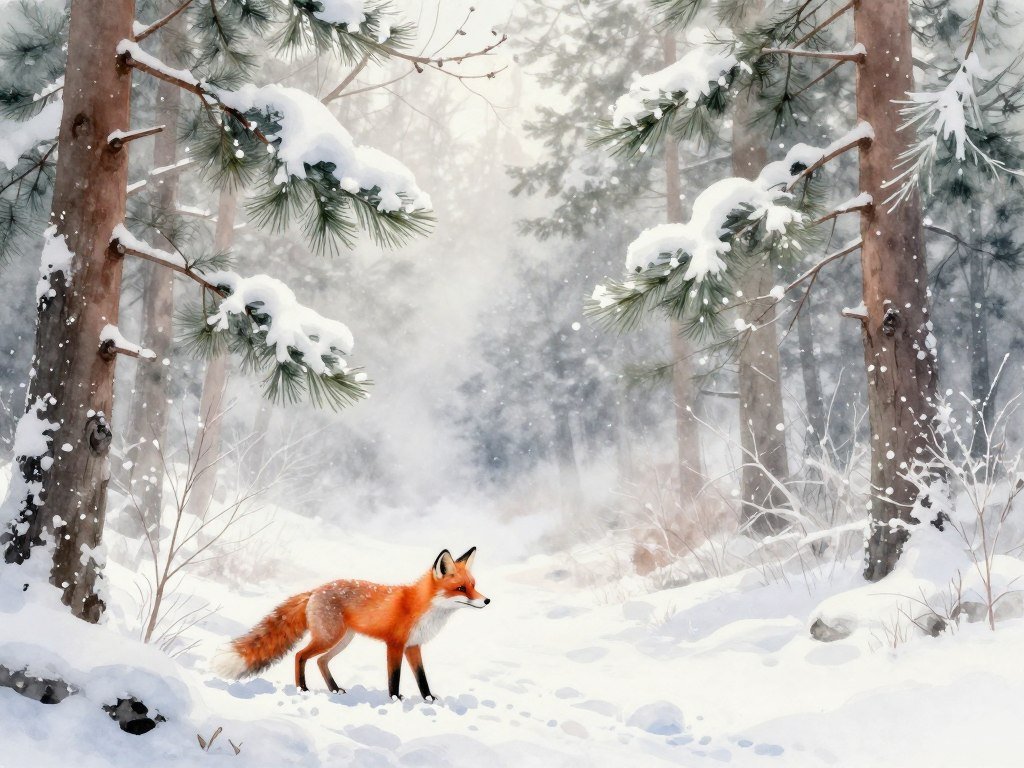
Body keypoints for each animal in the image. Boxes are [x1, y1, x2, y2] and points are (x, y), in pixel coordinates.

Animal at [213, 547, 489, 701]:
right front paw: (395, 699)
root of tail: (315, 590)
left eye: (473, 585)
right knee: (301, 656)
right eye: (461, 588)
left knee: (321, 661)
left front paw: (429, 699)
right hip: (329, 638)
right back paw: (302, 689)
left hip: (343, 640)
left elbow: (422, 678)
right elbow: (394, 677)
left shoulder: (414, 646)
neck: (421, 607)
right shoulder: (395, 645)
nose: (487, 600)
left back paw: (334, 689)